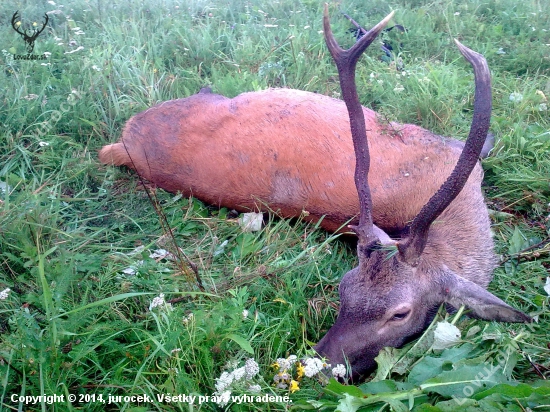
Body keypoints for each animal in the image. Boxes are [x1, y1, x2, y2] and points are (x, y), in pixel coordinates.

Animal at [100, 5, 536, 380]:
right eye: (342, 290)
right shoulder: (453, 149)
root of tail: (123, 140)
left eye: (400, 314)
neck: (470, 211)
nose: (323, 366)